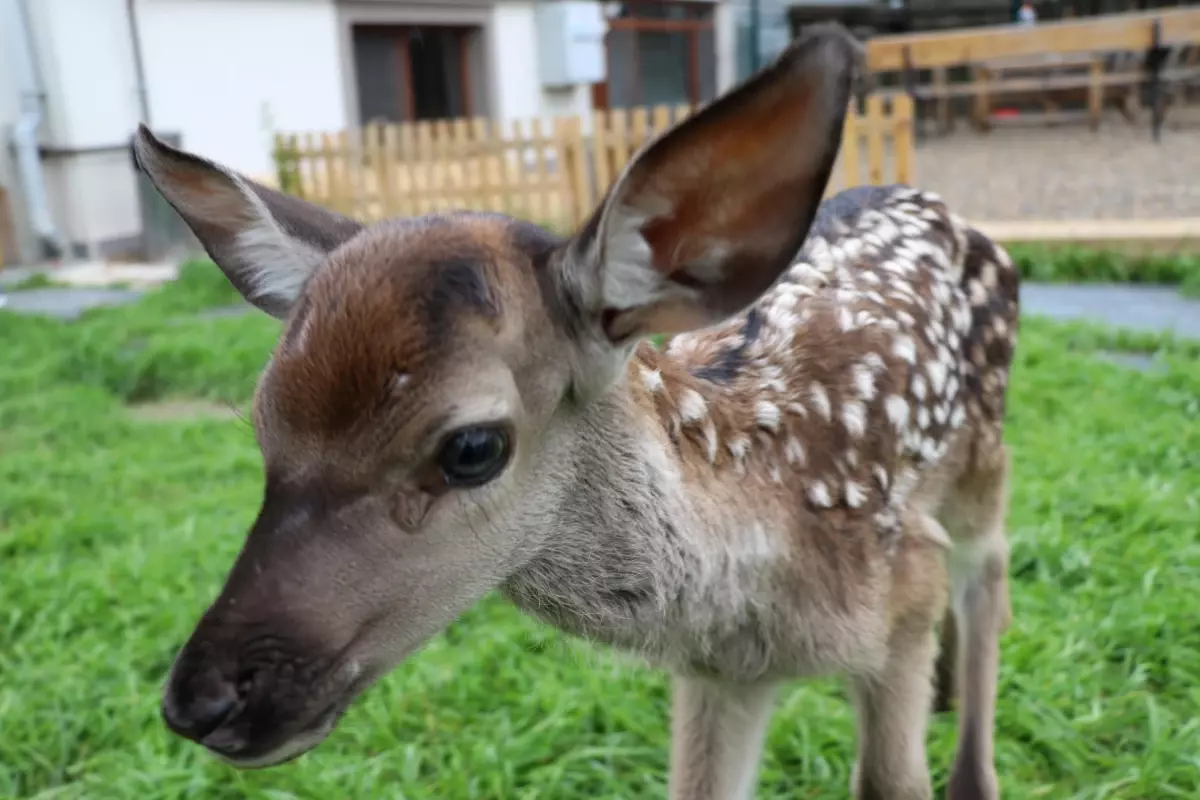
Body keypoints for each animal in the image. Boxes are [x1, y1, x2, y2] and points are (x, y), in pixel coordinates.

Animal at [131, 25, 1017, 800]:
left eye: (472, 447)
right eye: (261, 422)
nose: (200, 703)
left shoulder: (904, 586)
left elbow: (892, 777)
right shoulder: (723, 675)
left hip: (983, 460)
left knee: (990, 576)